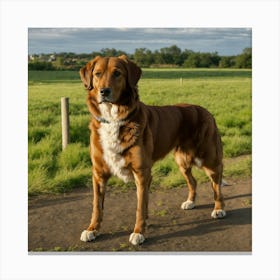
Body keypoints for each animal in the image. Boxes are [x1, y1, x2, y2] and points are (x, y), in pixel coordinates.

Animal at [79, 55, 225, 245]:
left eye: (117, 73)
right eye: (97, 74)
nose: (104, 91)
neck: (113, 119)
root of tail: (205, 110)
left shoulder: (142, 173)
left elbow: (140, 207)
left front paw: (138, 232)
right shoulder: (99, 173)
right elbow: (97, 206)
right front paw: (92, 229)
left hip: (208, 158)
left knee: (216, 184)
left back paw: (219, 208)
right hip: (182, 161)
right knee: (193, 181)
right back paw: (190, 202)